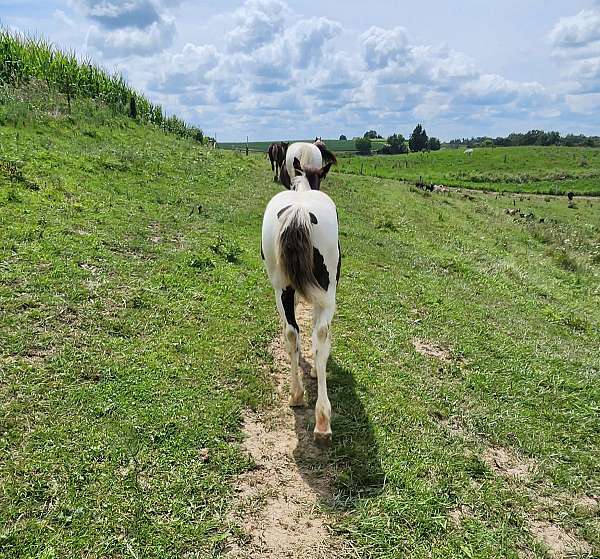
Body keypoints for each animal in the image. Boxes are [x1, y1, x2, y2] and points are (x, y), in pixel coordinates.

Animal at [262, 155, 340, 444]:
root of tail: (299, 212)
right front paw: (316, 369)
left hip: (280, 288)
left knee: (291, 332)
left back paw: (296, 395)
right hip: (327, 293)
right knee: (321, 332)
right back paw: (323, 420)